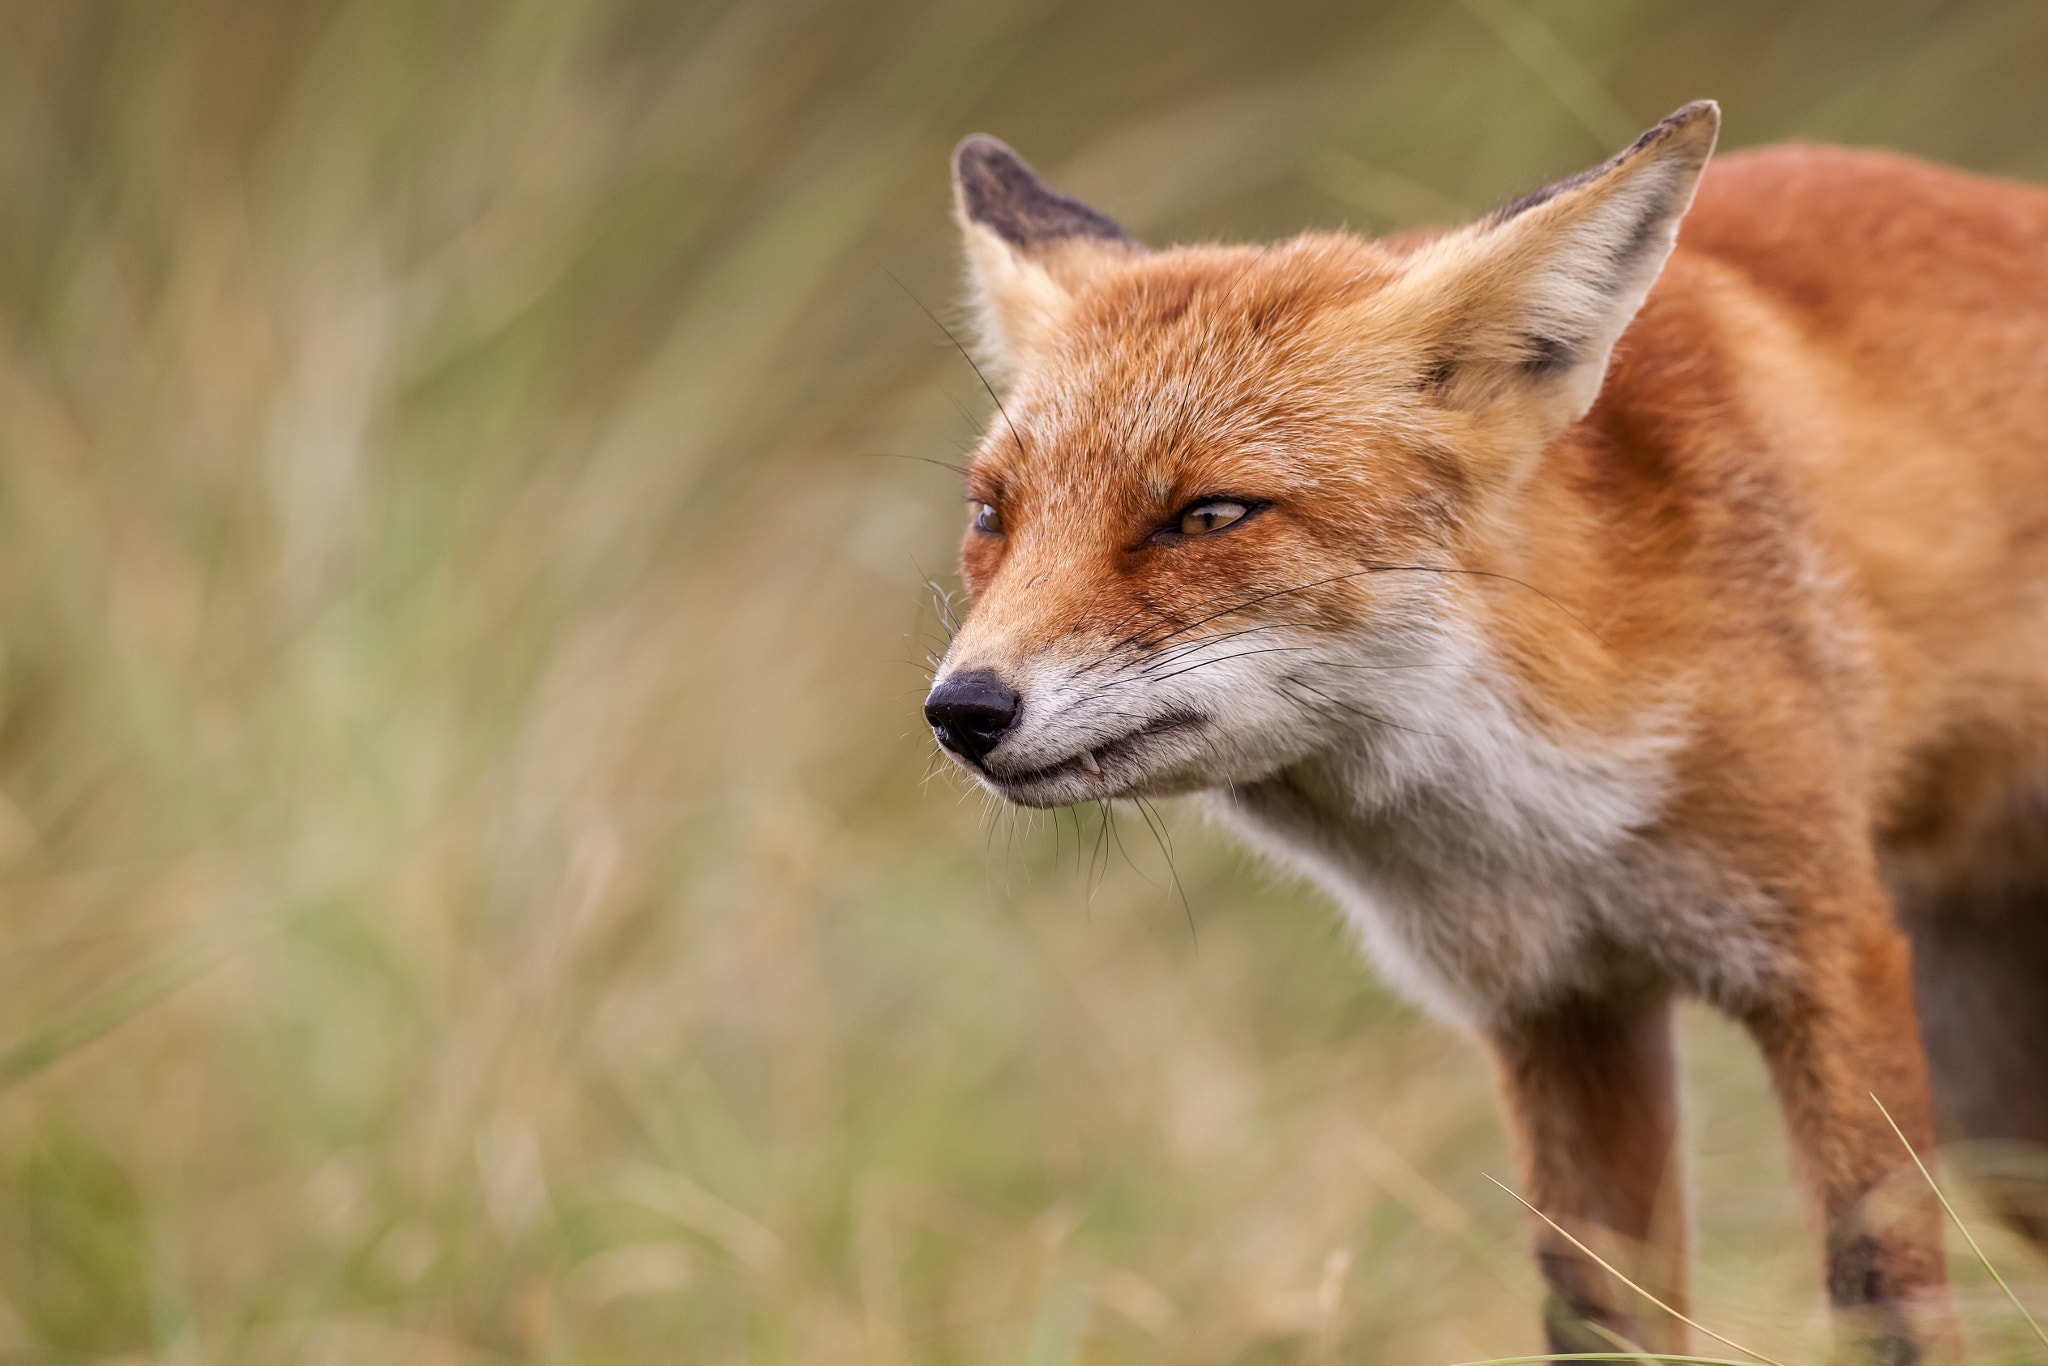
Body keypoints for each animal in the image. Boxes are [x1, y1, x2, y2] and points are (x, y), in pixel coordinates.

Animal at [921, 101, 2048, 1359]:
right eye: (991, 516)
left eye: (1207, 515)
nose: (963, 710)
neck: (1545, 819)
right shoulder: (1555, 1007)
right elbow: (1597, 1318)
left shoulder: (1820, 959)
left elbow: (1882, 1300)